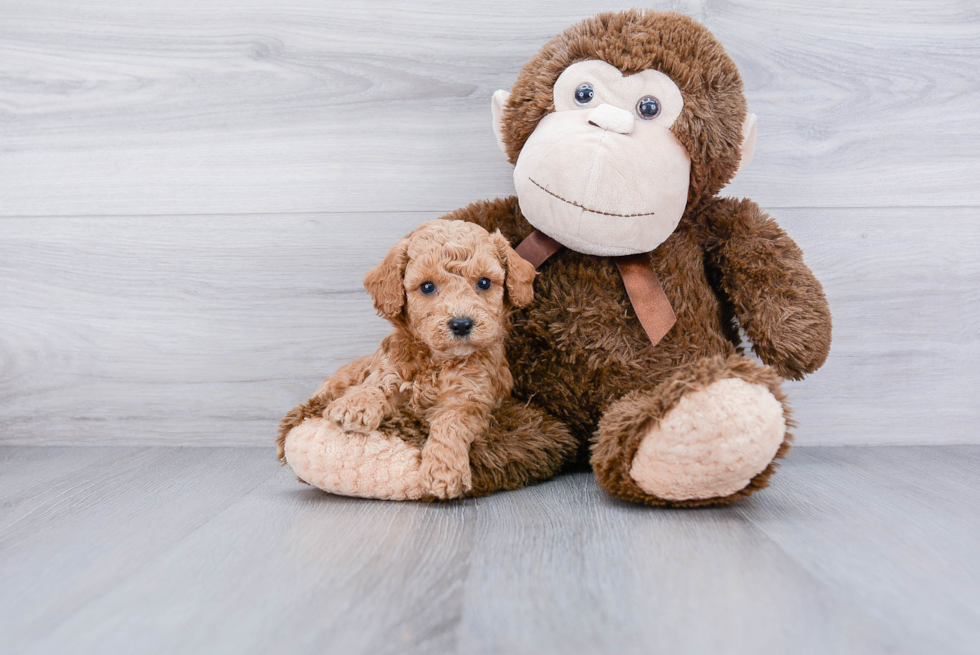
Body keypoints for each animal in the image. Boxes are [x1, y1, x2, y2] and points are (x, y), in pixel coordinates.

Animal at [296, 218, 532, 500]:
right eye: (427, 287)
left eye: (484, 283)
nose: (461, 324)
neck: (437, 361)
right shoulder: (391, 371)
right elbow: (375, 386)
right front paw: (356, 404)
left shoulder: (469, 400)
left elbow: (451, 424)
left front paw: (443, 472)